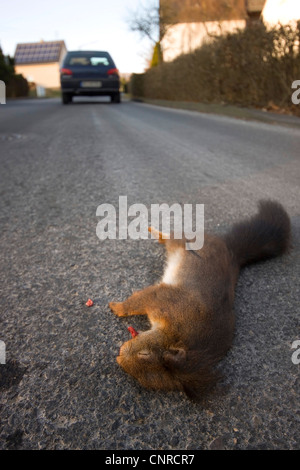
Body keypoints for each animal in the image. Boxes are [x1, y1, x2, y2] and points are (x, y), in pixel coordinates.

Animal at [109, 200, 290, 402]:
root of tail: (231, 251)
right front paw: (116, 307)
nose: (119, 356)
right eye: (144, 353)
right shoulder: (166, 301)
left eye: (145, 379)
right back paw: (156, 232)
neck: (179, 336)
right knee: (173, 237)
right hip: (186, 242)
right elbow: (138, 300)